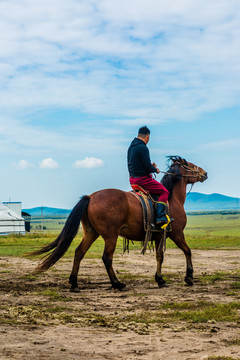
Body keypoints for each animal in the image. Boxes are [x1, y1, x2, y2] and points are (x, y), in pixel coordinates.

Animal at [31, 156, 207, 292]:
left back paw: (74, 283)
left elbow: (159, 257)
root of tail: (90, 197)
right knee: (107, 258)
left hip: (91, 233)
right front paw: (189, 277)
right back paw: (117, 284)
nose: (204, 173)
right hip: (110, 236)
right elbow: (187, 251)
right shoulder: (176, 234)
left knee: (79, 253)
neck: (171, 198)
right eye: (191, 165)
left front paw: (160, 279)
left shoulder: (159, 236)